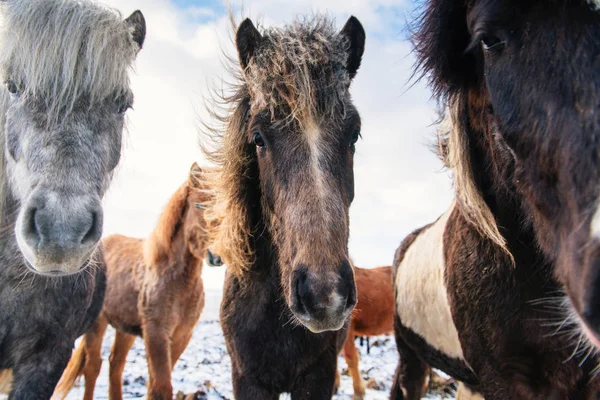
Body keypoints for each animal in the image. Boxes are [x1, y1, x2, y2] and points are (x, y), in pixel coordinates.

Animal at [53, 162, 213, 400]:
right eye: (199, 204)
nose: (217, 254)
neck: (177, 282)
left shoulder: (181, 336)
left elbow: (153, 385)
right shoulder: (156, 334)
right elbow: (161, 388)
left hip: (124, 329)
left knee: (115, 364)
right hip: (97, 324)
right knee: (93, 366)